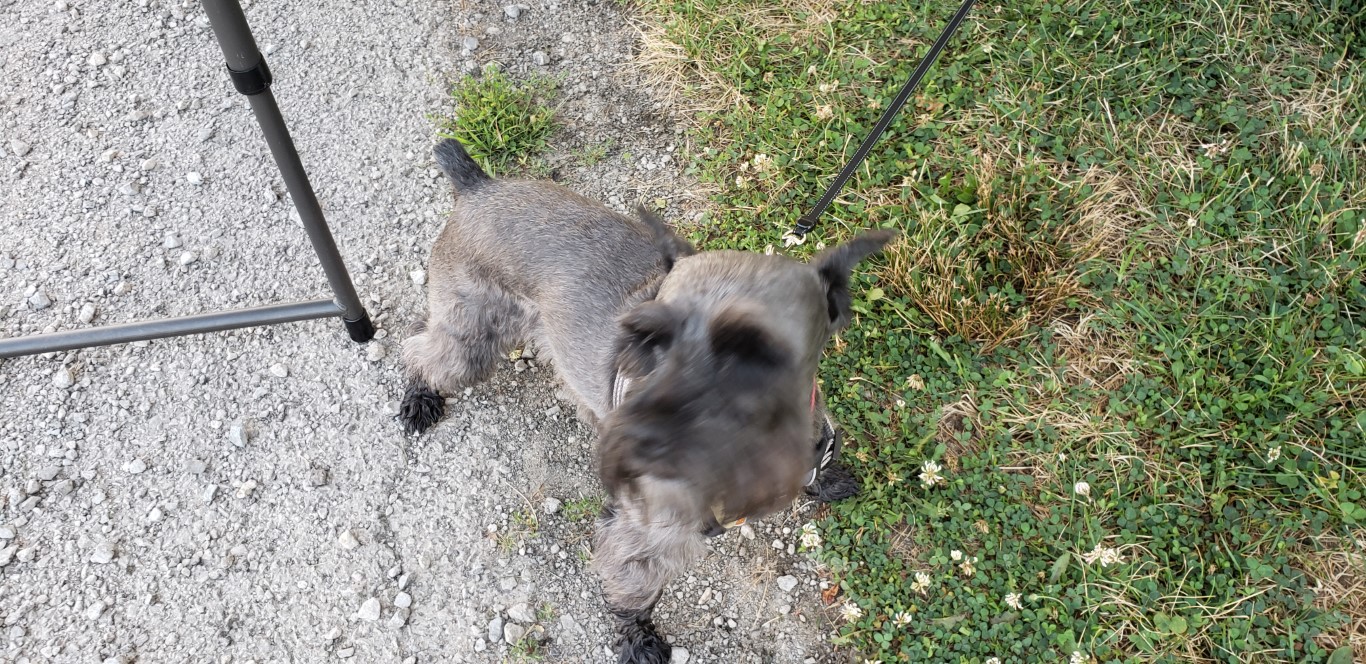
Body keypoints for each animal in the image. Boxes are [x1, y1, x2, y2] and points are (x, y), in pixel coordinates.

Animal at [400, 138, 894, 663]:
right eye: (650, 339)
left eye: (754, 350)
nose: (637, 446)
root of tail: (478, 186)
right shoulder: (643, 539)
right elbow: (635, 592)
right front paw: (639, 639)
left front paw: (831, 481)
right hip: (471, 337)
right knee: (421, 351)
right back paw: (419, 399)